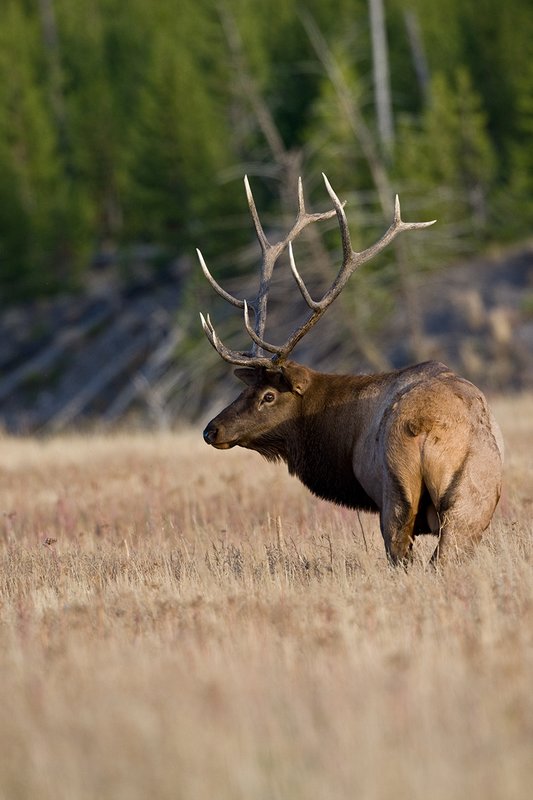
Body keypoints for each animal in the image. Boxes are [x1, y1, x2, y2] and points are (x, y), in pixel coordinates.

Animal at [198, 175, 504, 565]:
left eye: (268, 396)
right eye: (243, 390)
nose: (211, 430)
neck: (340, 438)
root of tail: (428, 428)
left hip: (396, 495)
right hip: (472, 501)